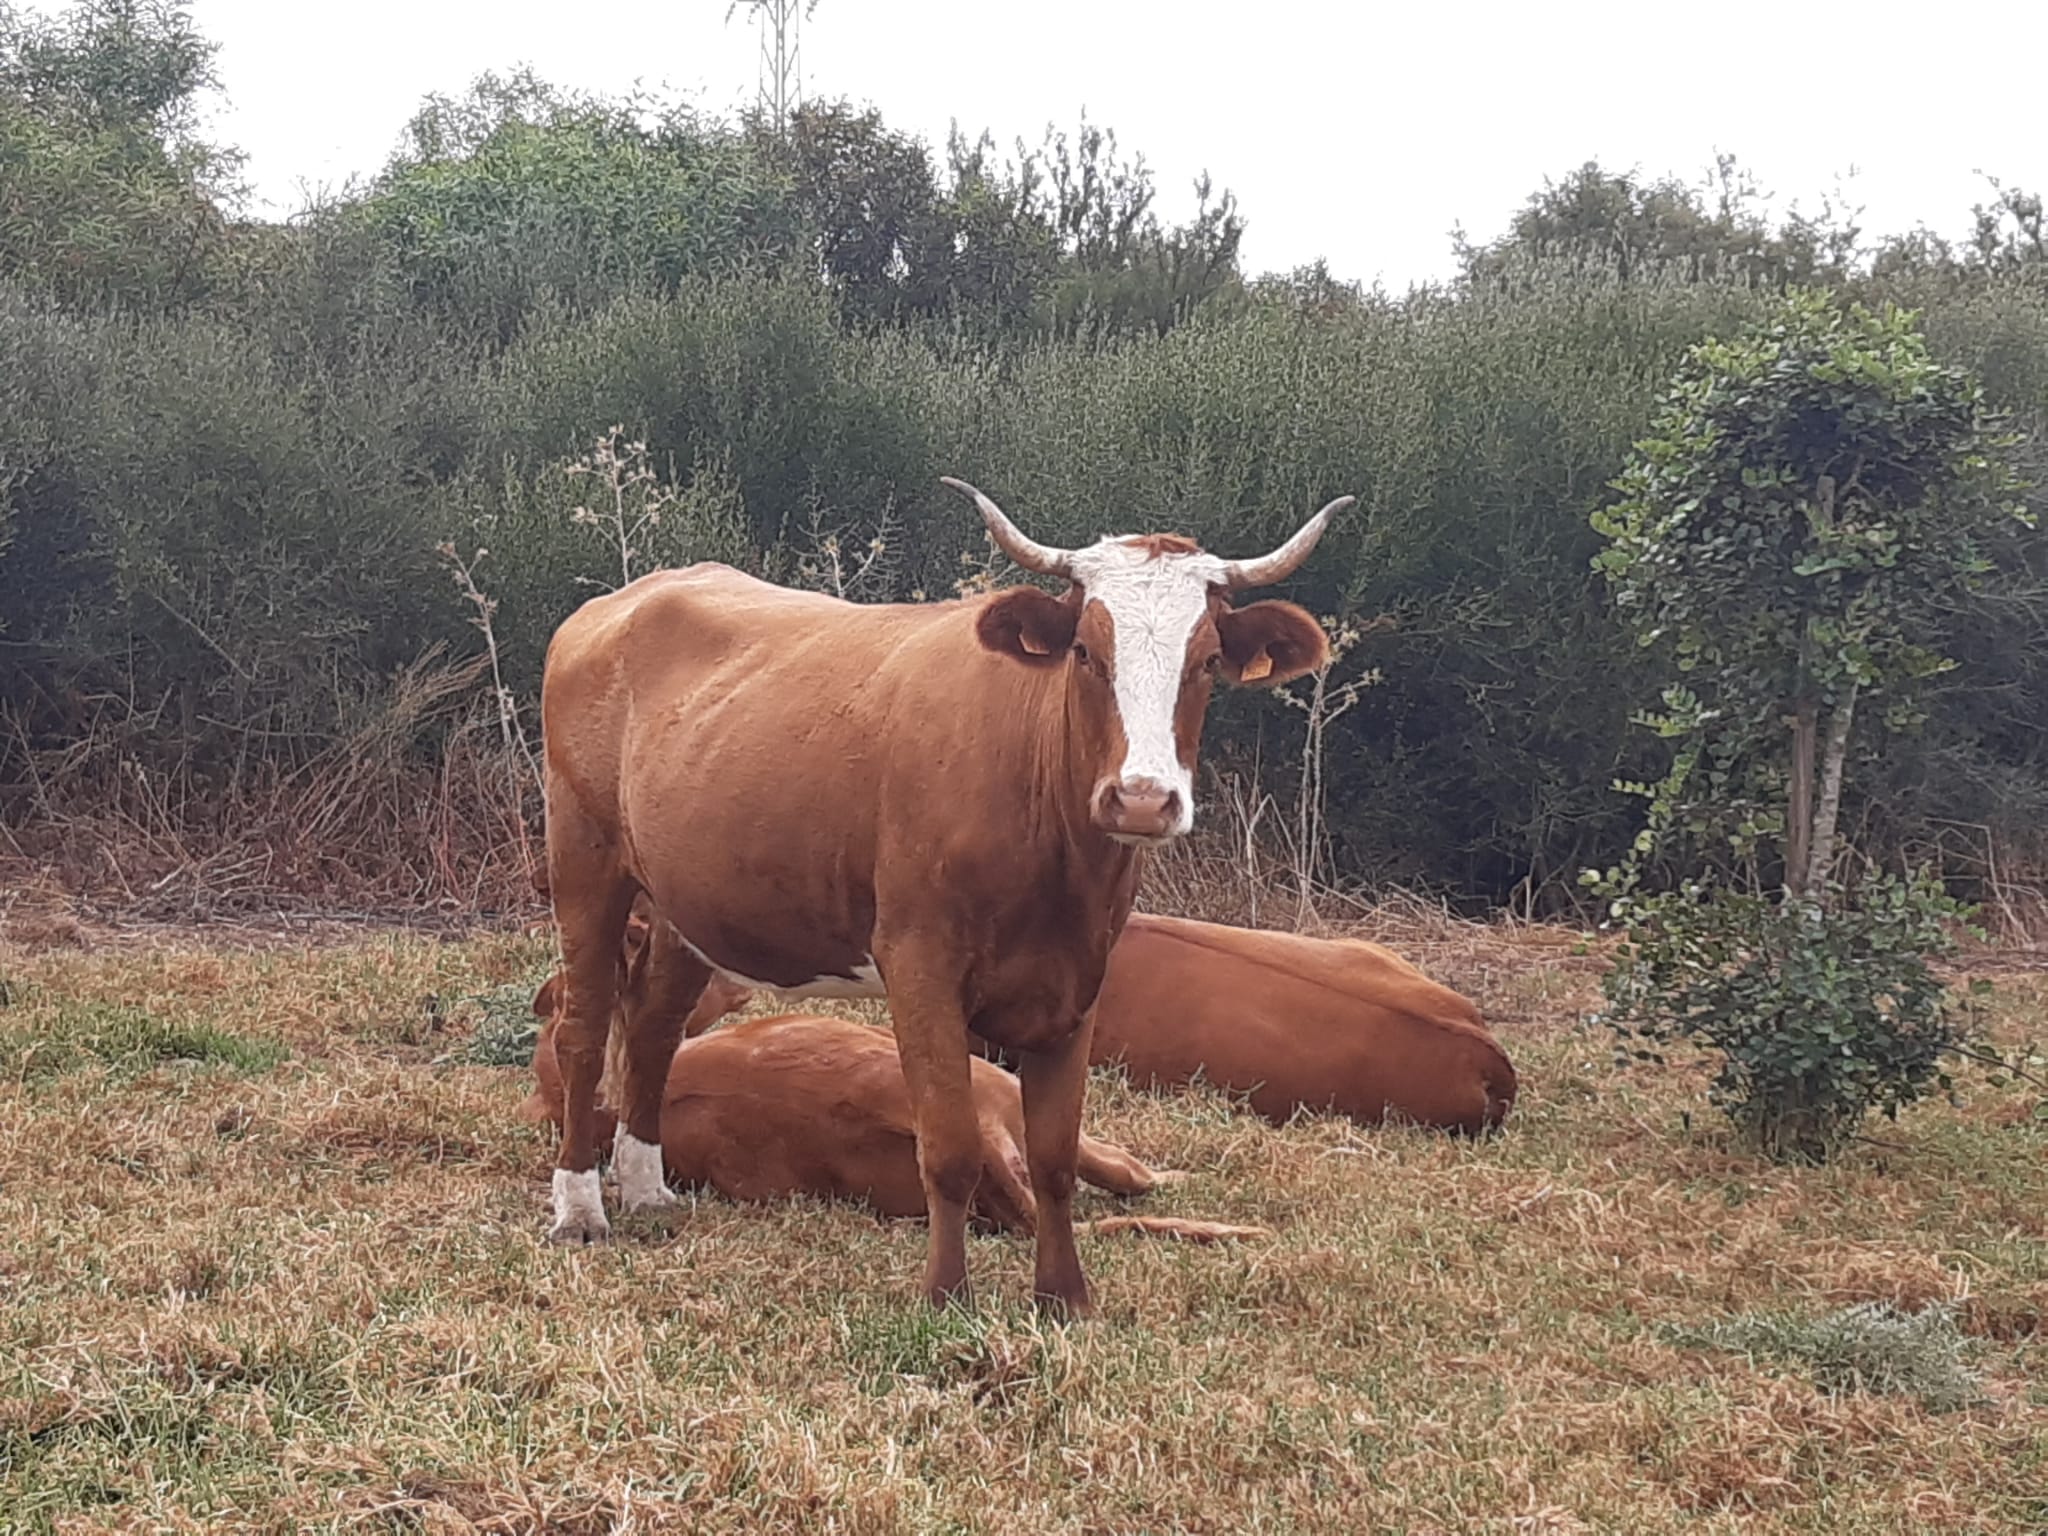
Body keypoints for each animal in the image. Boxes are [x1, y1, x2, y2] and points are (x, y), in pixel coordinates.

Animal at [537, 479, 1345, 1313]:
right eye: (1085, 652)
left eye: (1208, 659)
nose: (1144, 800)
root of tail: (628, 599)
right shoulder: (919, 962)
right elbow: (950, 1147)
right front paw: (945, 1293)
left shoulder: (1079, 981)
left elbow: (1055, 1155)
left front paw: (1064, 1296)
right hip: (584, 854)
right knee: (583, 1028)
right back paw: (580, 1209)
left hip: (684, 899)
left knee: (654, 1026)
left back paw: (645, 1190)